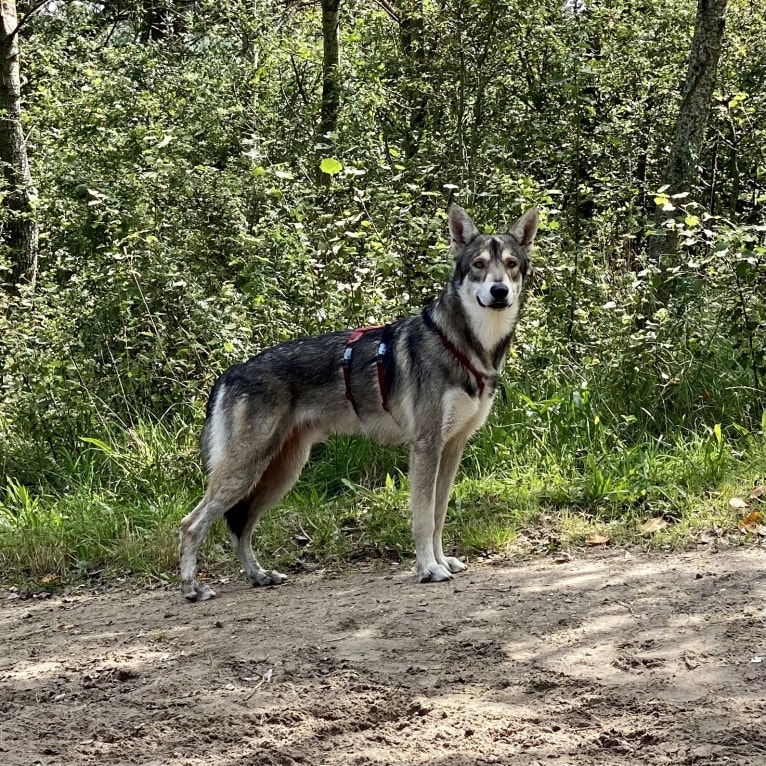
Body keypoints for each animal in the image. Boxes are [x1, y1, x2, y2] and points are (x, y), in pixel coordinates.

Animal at [180, 207, 540, 604]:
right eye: (479, 265)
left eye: (510, 265)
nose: (499, 291)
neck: (462, 344)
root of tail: (231, 372)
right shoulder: (426, 447)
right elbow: (423, 518)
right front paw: (429, 569)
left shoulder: (452, 448)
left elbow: (439, 514)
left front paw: (442, 560)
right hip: (246, 470)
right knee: (191, 524)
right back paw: (192, 587)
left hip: (279, 473)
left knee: (240, 526)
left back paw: (259, 576)